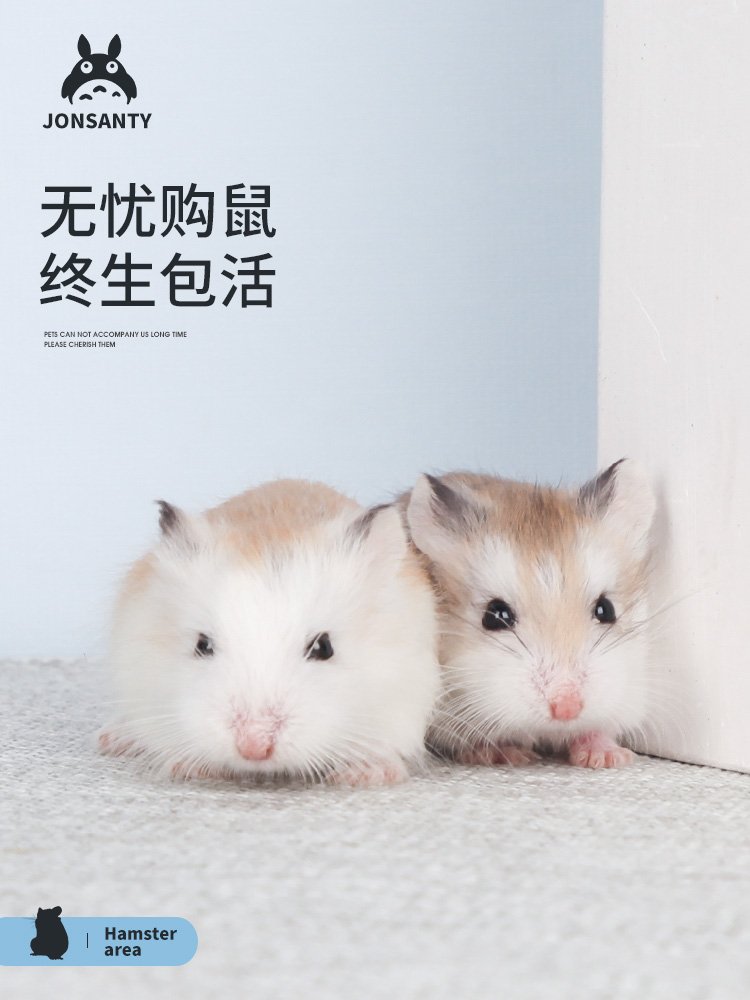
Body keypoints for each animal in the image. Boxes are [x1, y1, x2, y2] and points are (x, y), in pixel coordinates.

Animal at [402, 459, 656, 768]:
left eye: (606, 609)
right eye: (495, 616)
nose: (566, 709)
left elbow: (598, 728)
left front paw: (608, 758)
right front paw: (508, 754)